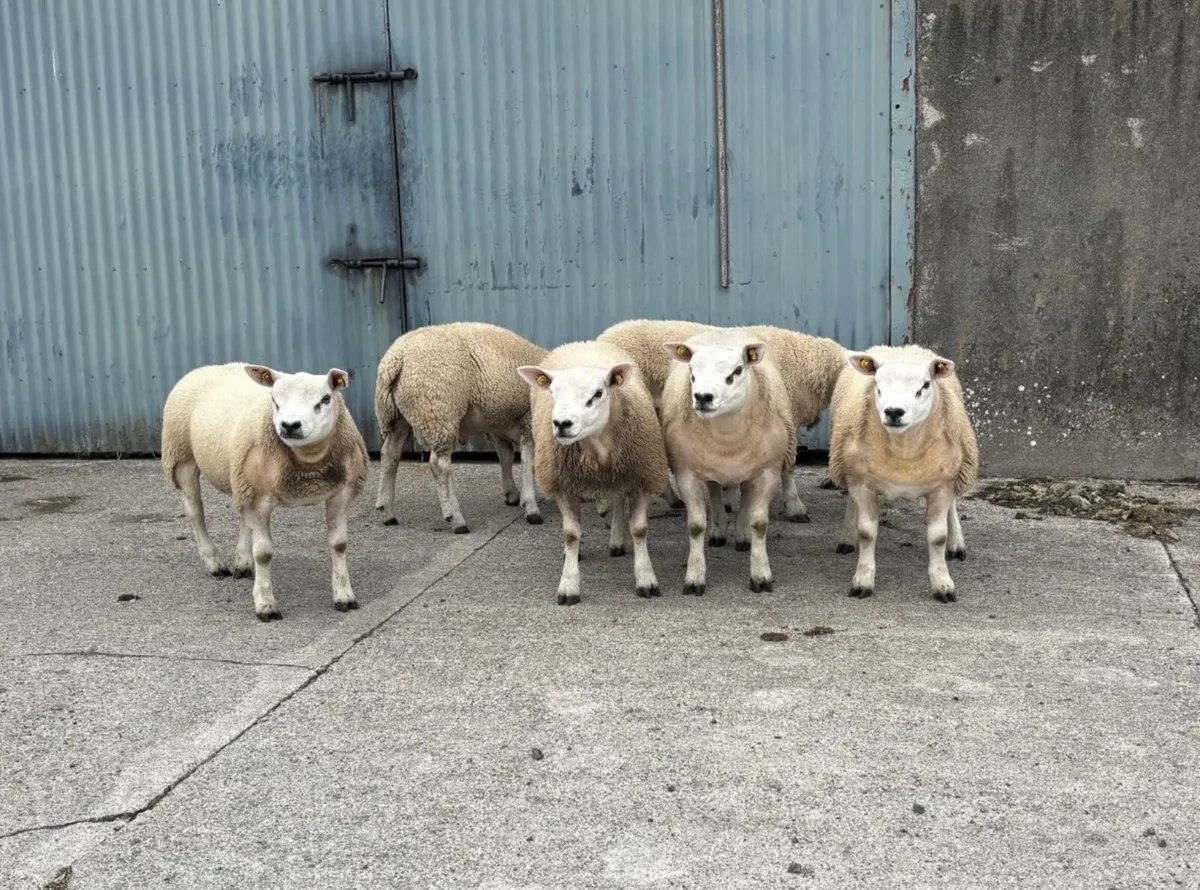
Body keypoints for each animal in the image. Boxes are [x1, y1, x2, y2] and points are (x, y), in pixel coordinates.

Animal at [161, 362, 368, 621]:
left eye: (325, 399)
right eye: (274, 400)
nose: (290, 426)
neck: (308, 461)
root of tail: (207, 367)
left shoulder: (341, 492)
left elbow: (339, 544)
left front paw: (344, 596)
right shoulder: (259, 498)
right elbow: (264, 553)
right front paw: (266, 604)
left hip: (241, 477)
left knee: (242, 517)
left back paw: (243, 563)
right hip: (182, 456)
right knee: (195, 510)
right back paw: (214, 562)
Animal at [373, 322, 548, 532]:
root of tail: (395, 359)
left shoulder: (497, 423)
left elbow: (505, 456)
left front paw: (512, 494)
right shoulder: (528, 419)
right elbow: (527, 461)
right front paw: (531, 507)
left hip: (399, 418)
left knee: (390, 454)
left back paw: (387, 512)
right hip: (439, 413)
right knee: (439, 465)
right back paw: (456, 519)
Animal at [516, 340, 670, 606]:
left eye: (598, 393)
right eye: (553, 392)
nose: (562, 424)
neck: (598, 450)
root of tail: (583, 343)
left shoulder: (641, 477)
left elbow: (639, 530)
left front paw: (646, 579)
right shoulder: (563, 485)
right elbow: (571, 534)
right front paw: (568, 585)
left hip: (621, 474)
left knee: (618, 499)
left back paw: (616, 540)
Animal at [660, 329, 796, 595]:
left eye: (737, 370)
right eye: (691, 370)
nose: (703, 397)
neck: (727, 436)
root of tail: (721, 331)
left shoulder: (768, 472)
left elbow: (759, 524)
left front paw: (760, 575)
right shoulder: (685, 473)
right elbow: (696, 526)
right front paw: (694, 578)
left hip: (750, 469)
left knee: (745, 493)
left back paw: (742, 536)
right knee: (714, 491)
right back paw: (719, 531)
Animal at [827, 345, 980, 603]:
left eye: (925, 385)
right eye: (877, 384)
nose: (894, 412)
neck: (904, 451)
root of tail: (901, 347)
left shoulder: (942, 485)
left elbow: (938, 536)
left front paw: (943, 584)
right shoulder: (861, 482)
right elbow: (866, 533)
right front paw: (862, 581)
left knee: (953, 508)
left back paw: (956, 544)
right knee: (851, 503)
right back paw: (847, 538)